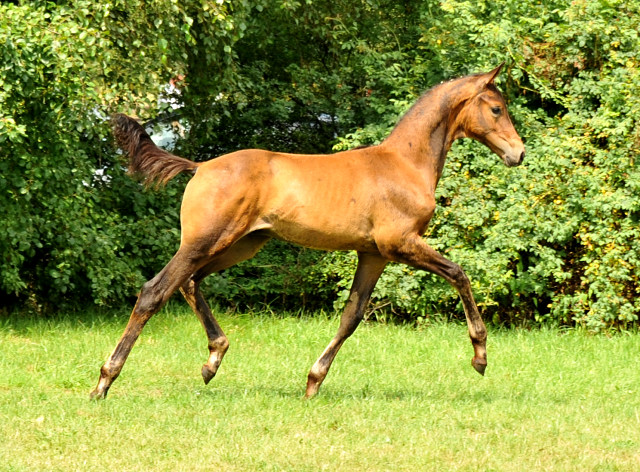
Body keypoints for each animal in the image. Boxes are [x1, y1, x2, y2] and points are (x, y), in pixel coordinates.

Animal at [92, 64, 528, 400]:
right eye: (496, 108)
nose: (519, 153)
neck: (404, 163)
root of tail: (200, 166)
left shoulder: (374, 254)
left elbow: (351, 316)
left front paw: (313, 382)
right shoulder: (400, 244)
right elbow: (459, 274)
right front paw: (480, 355)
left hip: (241, 245)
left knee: (189, 283)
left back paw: (212, 360)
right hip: (207, 241)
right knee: (155, 291)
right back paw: (104, 381)